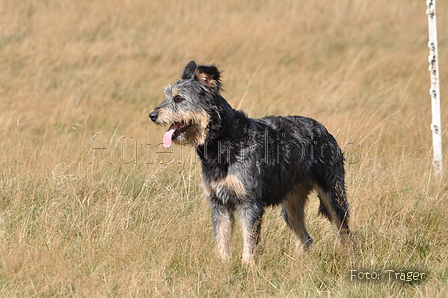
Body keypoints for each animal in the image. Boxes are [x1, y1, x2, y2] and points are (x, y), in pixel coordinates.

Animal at [150, 60, 354, 266]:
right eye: (167, 96)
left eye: (179, 99)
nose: (152, 115)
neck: (224, 140)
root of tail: (324, 129)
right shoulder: (219, 203)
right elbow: (222, 238)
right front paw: (222, 264)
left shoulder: (249, 202)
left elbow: (250, 239)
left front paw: (248, 266)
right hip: (291, 203)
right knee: (305, 238)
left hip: (333, 194)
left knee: (345, 232)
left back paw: (348, 258)